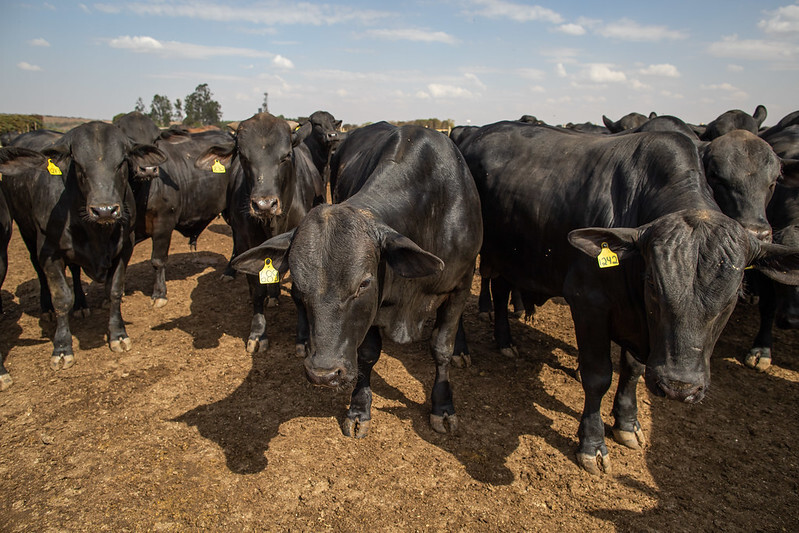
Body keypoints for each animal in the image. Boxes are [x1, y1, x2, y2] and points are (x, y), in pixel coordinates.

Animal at [0, 123, 166, 370]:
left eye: (121, 162)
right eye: (78, 163)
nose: (105, 210)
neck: (97, 231)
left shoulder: (124, 247)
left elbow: (114, 290)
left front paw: (118, 335)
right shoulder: (49, 252)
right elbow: (61, 298)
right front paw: (61, 348)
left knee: (76, 272)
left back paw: (80, 305)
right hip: (26, 231)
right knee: (39, 271)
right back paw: (47, 309)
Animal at [195, 111, 324, 354]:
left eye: (285, 156)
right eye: (244, 157)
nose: (264, 204)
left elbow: (297, 292)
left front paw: (302, 338)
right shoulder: (247, 243)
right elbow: (255, 290)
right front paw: (258, 333)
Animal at [230, 123, 482, 436]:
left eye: (364, 283)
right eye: (299, 286)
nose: (323, 373)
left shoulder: (461, 283)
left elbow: (441, 348)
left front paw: (443, 406)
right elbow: (368, 354)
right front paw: (359, 408)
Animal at [460, 121, 799, 474]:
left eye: (732, 297)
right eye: (653, 284)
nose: (680, 387)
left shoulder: (642, 327)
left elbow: (633, 370)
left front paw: (626, 422)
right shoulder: (588, 303)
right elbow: (598, 377)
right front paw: (592, 443)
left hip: (509, 256)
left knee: (500, 292)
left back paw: (505, 340)